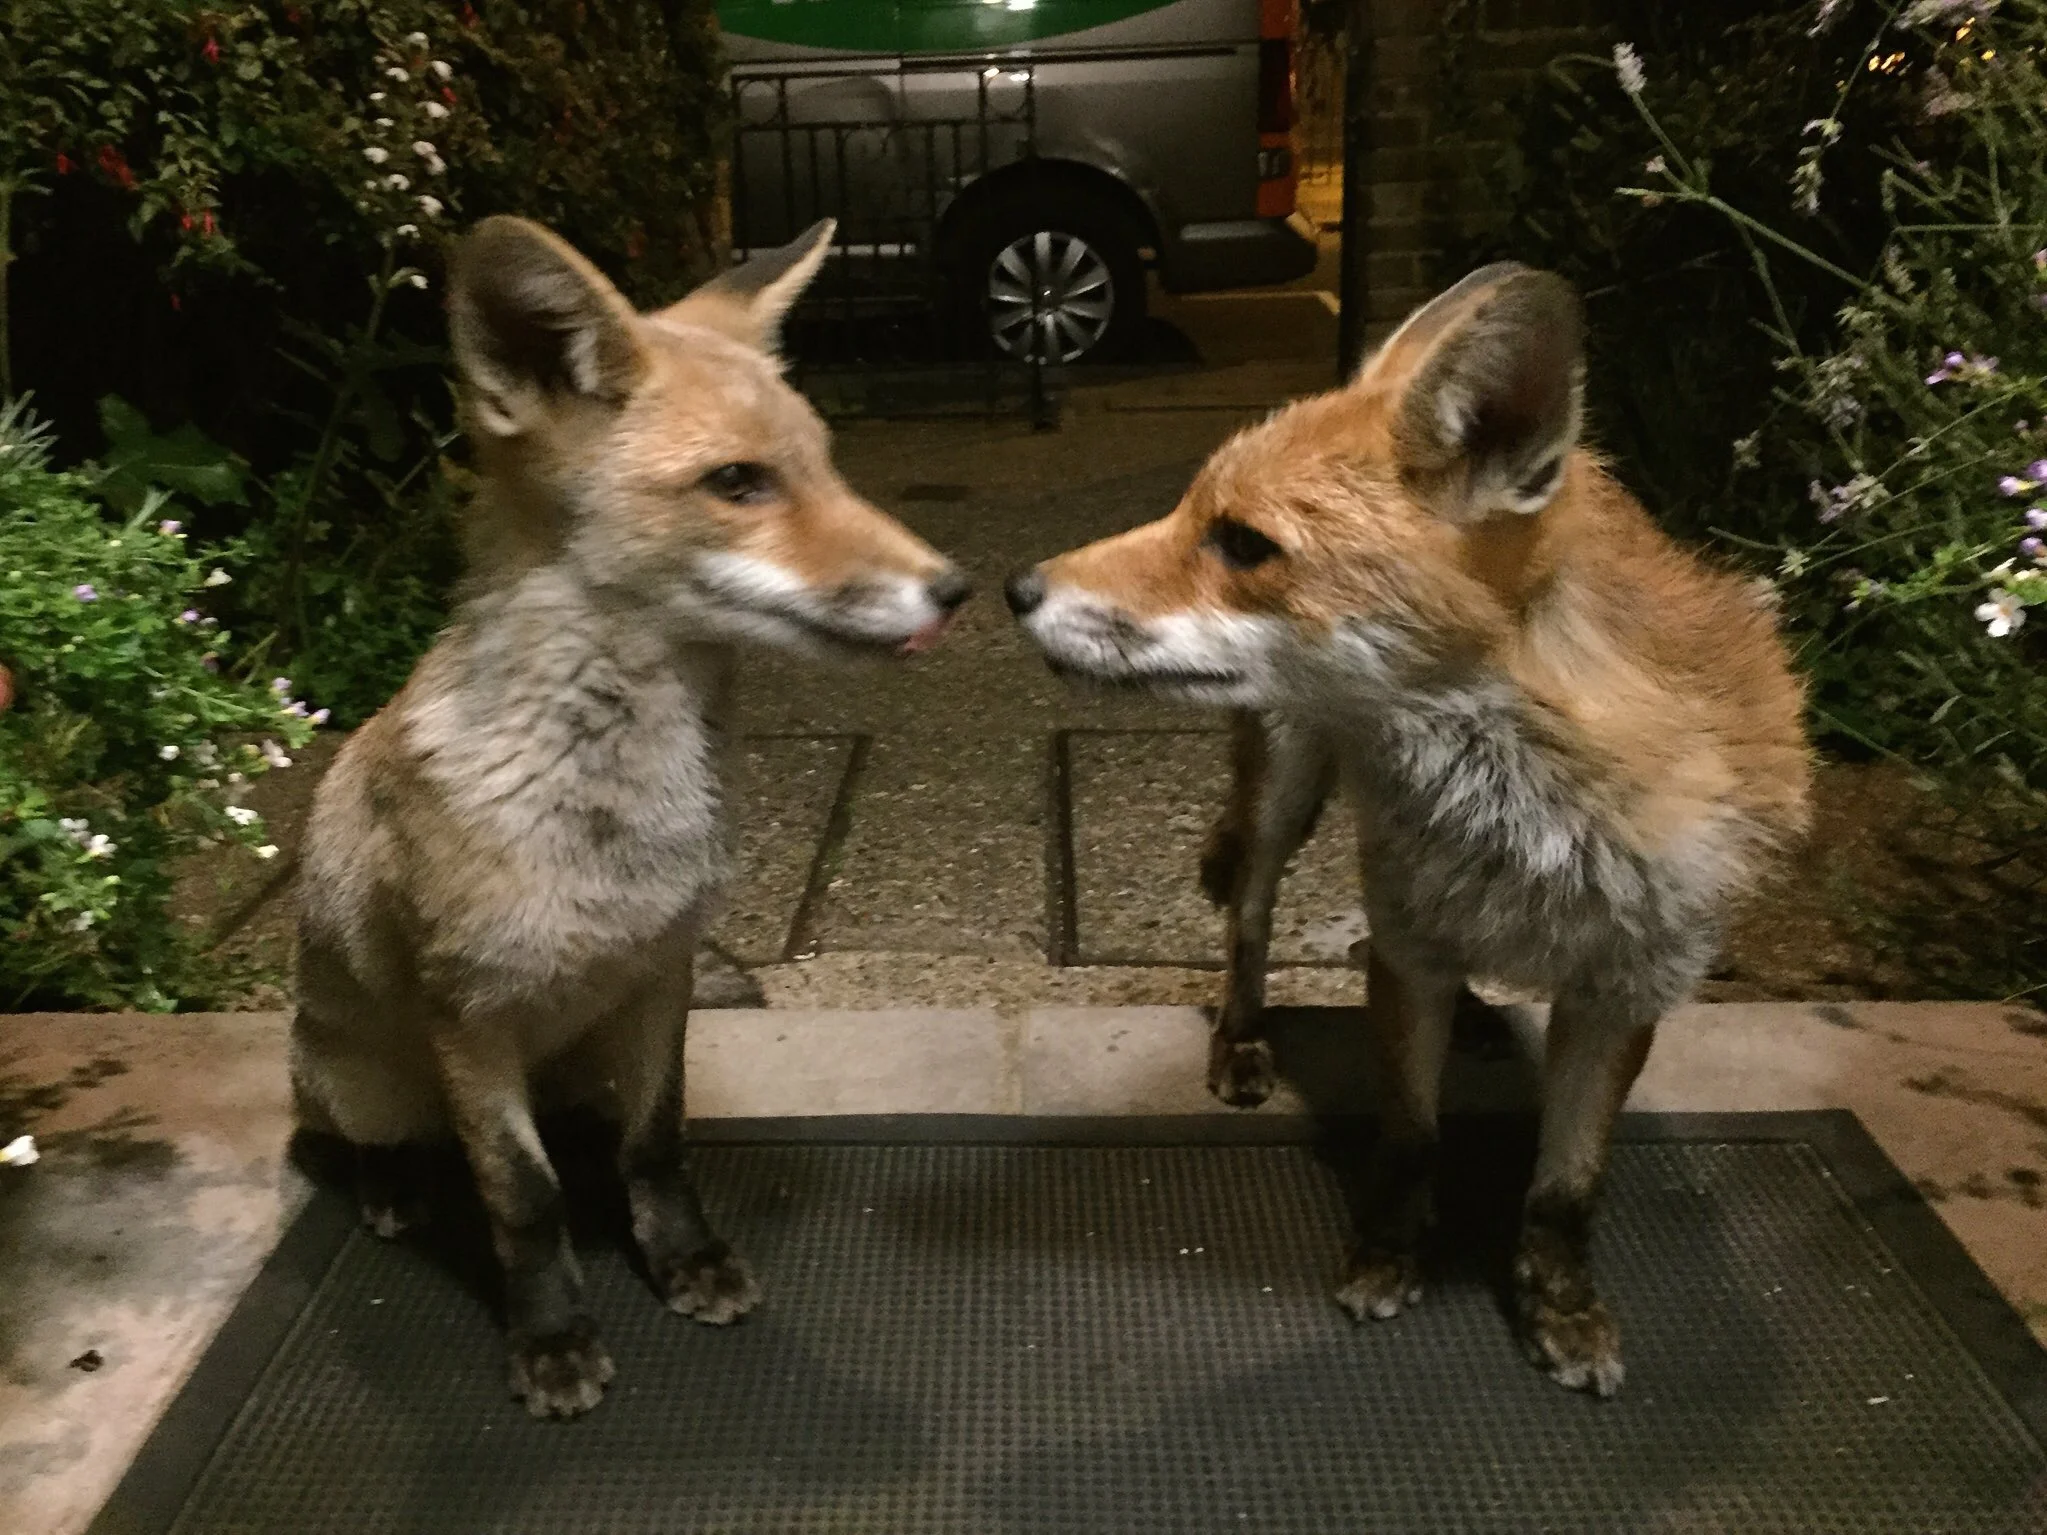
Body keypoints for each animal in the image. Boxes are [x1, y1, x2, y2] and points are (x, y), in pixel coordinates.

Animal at [290, 215, 970, 1419]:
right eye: (739, 481)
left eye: (824, 462)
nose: (958, 589)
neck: (607, 829)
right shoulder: (470, 1015)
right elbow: (522, 1198)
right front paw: (552, 1336)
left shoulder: (660, 975)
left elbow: (656, 1146)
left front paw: (683, 1259)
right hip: (367, 1079)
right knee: (391, 1142)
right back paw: (392, 1187)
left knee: (590, 1129)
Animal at [1006, 263, 1810, 1395]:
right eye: (1186, 509)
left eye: (1242, 542)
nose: (1011, 588)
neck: (1539, 815)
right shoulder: (1408, 951)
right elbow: (1411, 1139)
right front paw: (1389, 1256)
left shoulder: (1627, 985)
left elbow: (1565, 1187)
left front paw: (1559, 1309)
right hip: (1282, 804)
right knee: (1247, 924)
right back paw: (1242, 1039)